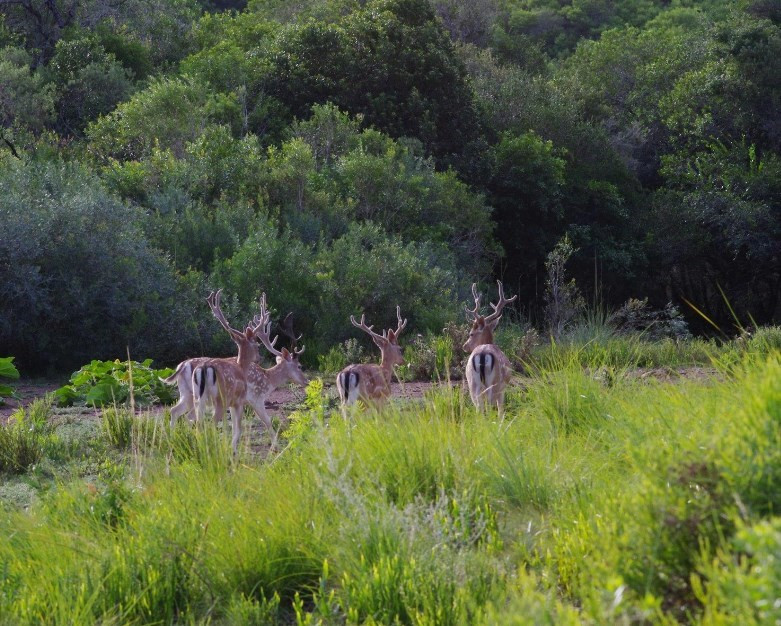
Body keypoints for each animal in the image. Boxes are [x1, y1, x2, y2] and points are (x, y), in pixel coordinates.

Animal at [464, 280, 516, 412]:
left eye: (471, 334)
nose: (464, 346)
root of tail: (482, 354)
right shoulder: (502, 390)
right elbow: (501, 410)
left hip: (473, 384)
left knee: (479, 408)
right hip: (494, 384)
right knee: (487, 407)